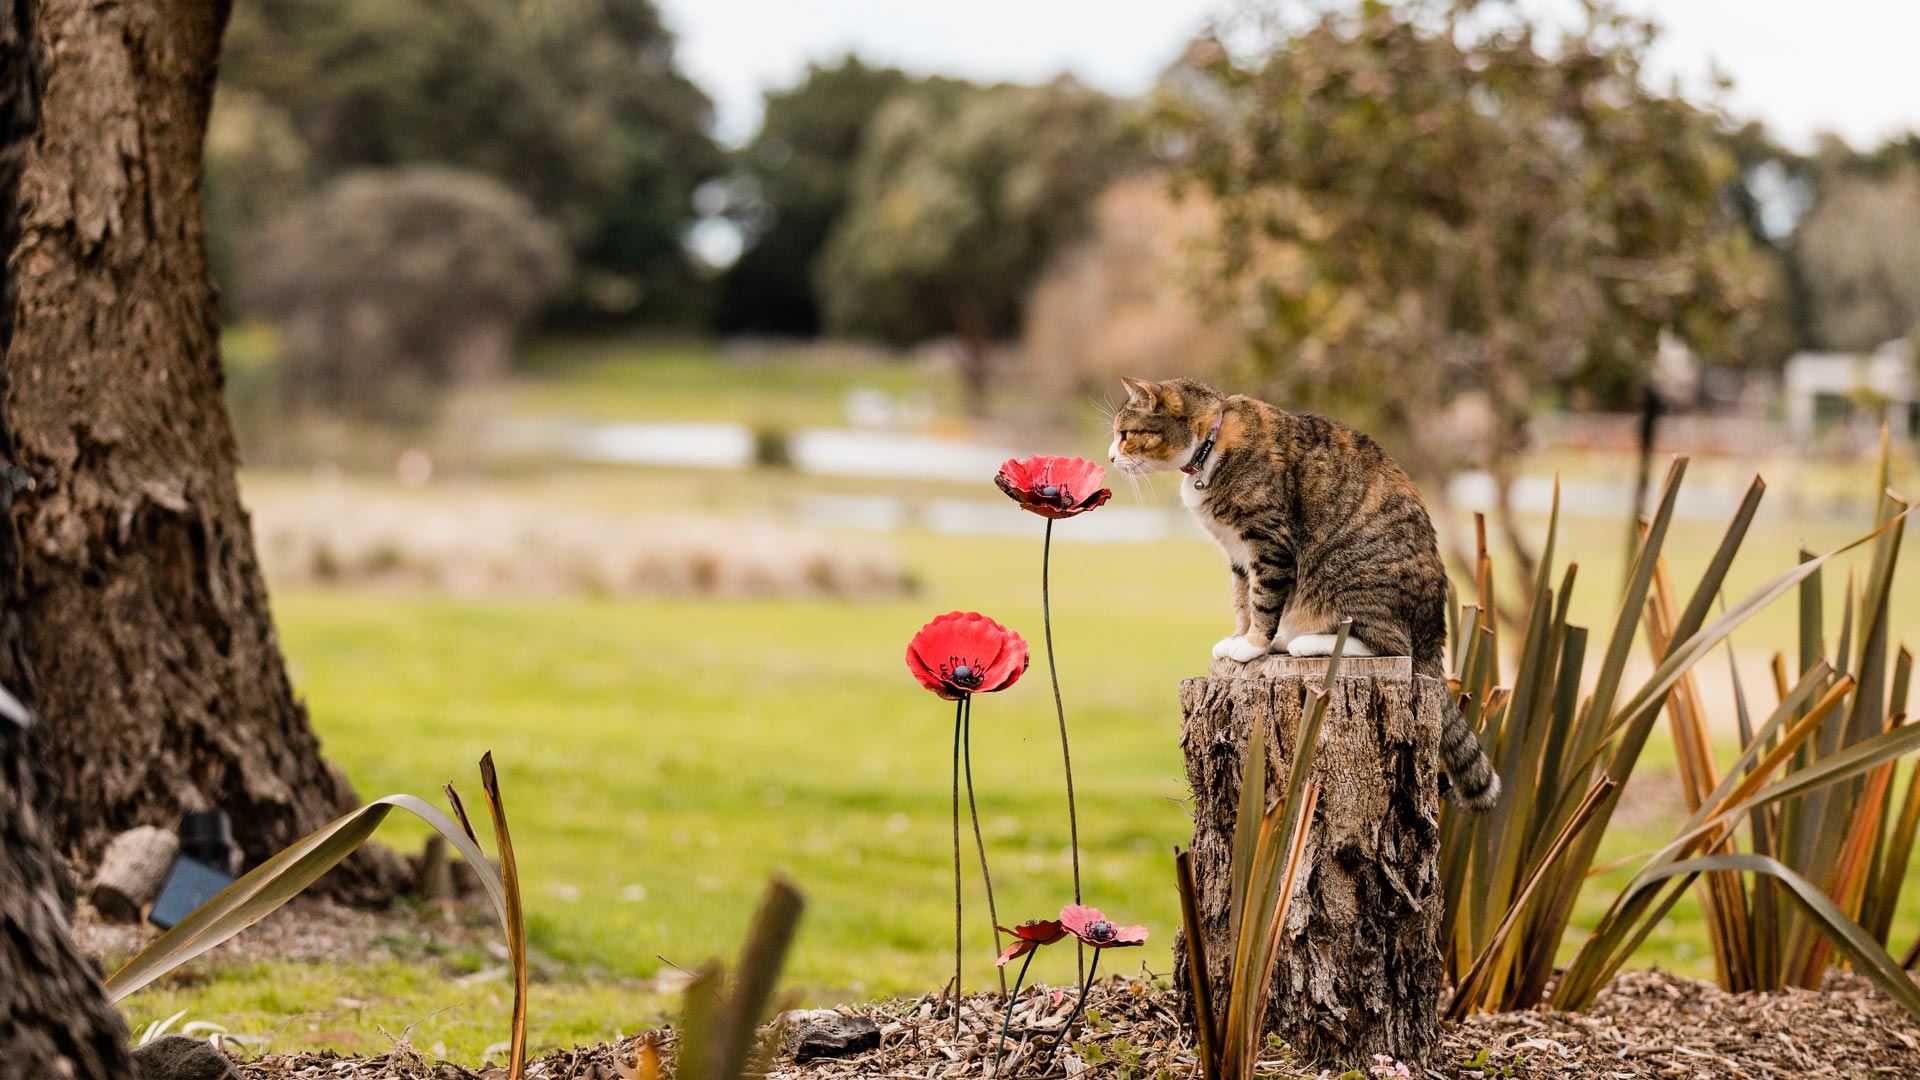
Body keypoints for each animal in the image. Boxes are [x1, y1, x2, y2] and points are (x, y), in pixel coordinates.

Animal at [1113, 378, 1497, 807]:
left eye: (1125, 434)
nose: (1110, 456)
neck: (1212, 441)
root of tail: (1435, 640)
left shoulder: (1269, 543)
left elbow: (1262, 600)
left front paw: (1252, 646)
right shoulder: (1238, 554)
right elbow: (1243, 600)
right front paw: (1239, 638)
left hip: (1349, 579)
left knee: (1394, 646)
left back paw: (1306, 642)